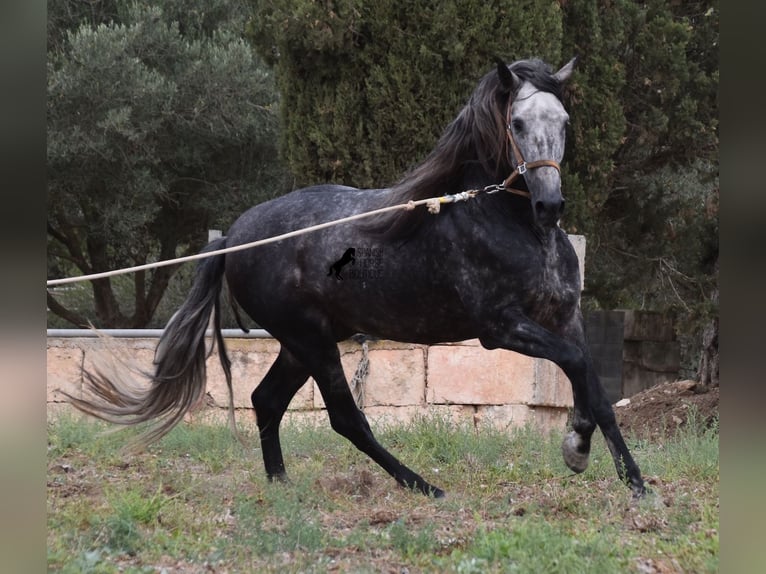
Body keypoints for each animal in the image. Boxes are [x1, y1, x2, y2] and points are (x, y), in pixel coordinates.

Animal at [69, 57, 648, 500]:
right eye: (519, 124)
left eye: (565, 121)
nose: (550, 205)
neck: (509, 225)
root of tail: (233, 236)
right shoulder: (500, 328)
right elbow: (576, 367)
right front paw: (579, 452)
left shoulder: (565, 317)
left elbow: (594, 388)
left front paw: (630, 478)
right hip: (311, 340)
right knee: (346, 418)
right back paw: (424, 487)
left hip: (303, 342)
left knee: (266, 400)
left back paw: (281, 484)